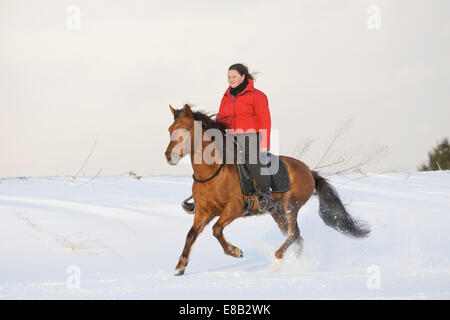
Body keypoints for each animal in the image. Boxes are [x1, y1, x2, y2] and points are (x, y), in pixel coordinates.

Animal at [165, 104, 370, 276]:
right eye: (170, 130)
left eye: (186, 129)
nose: (169, 156)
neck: (214, 173)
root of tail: (308, 171)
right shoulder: (203, 212)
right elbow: (191, 234)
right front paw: (180, 266)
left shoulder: (234, 209)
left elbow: (216, 230)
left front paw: (235, 251)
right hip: (277, 212)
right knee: (297, 237)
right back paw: (297, 265)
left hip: (291, 205)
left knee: (293, 234)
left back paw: (278, 259)